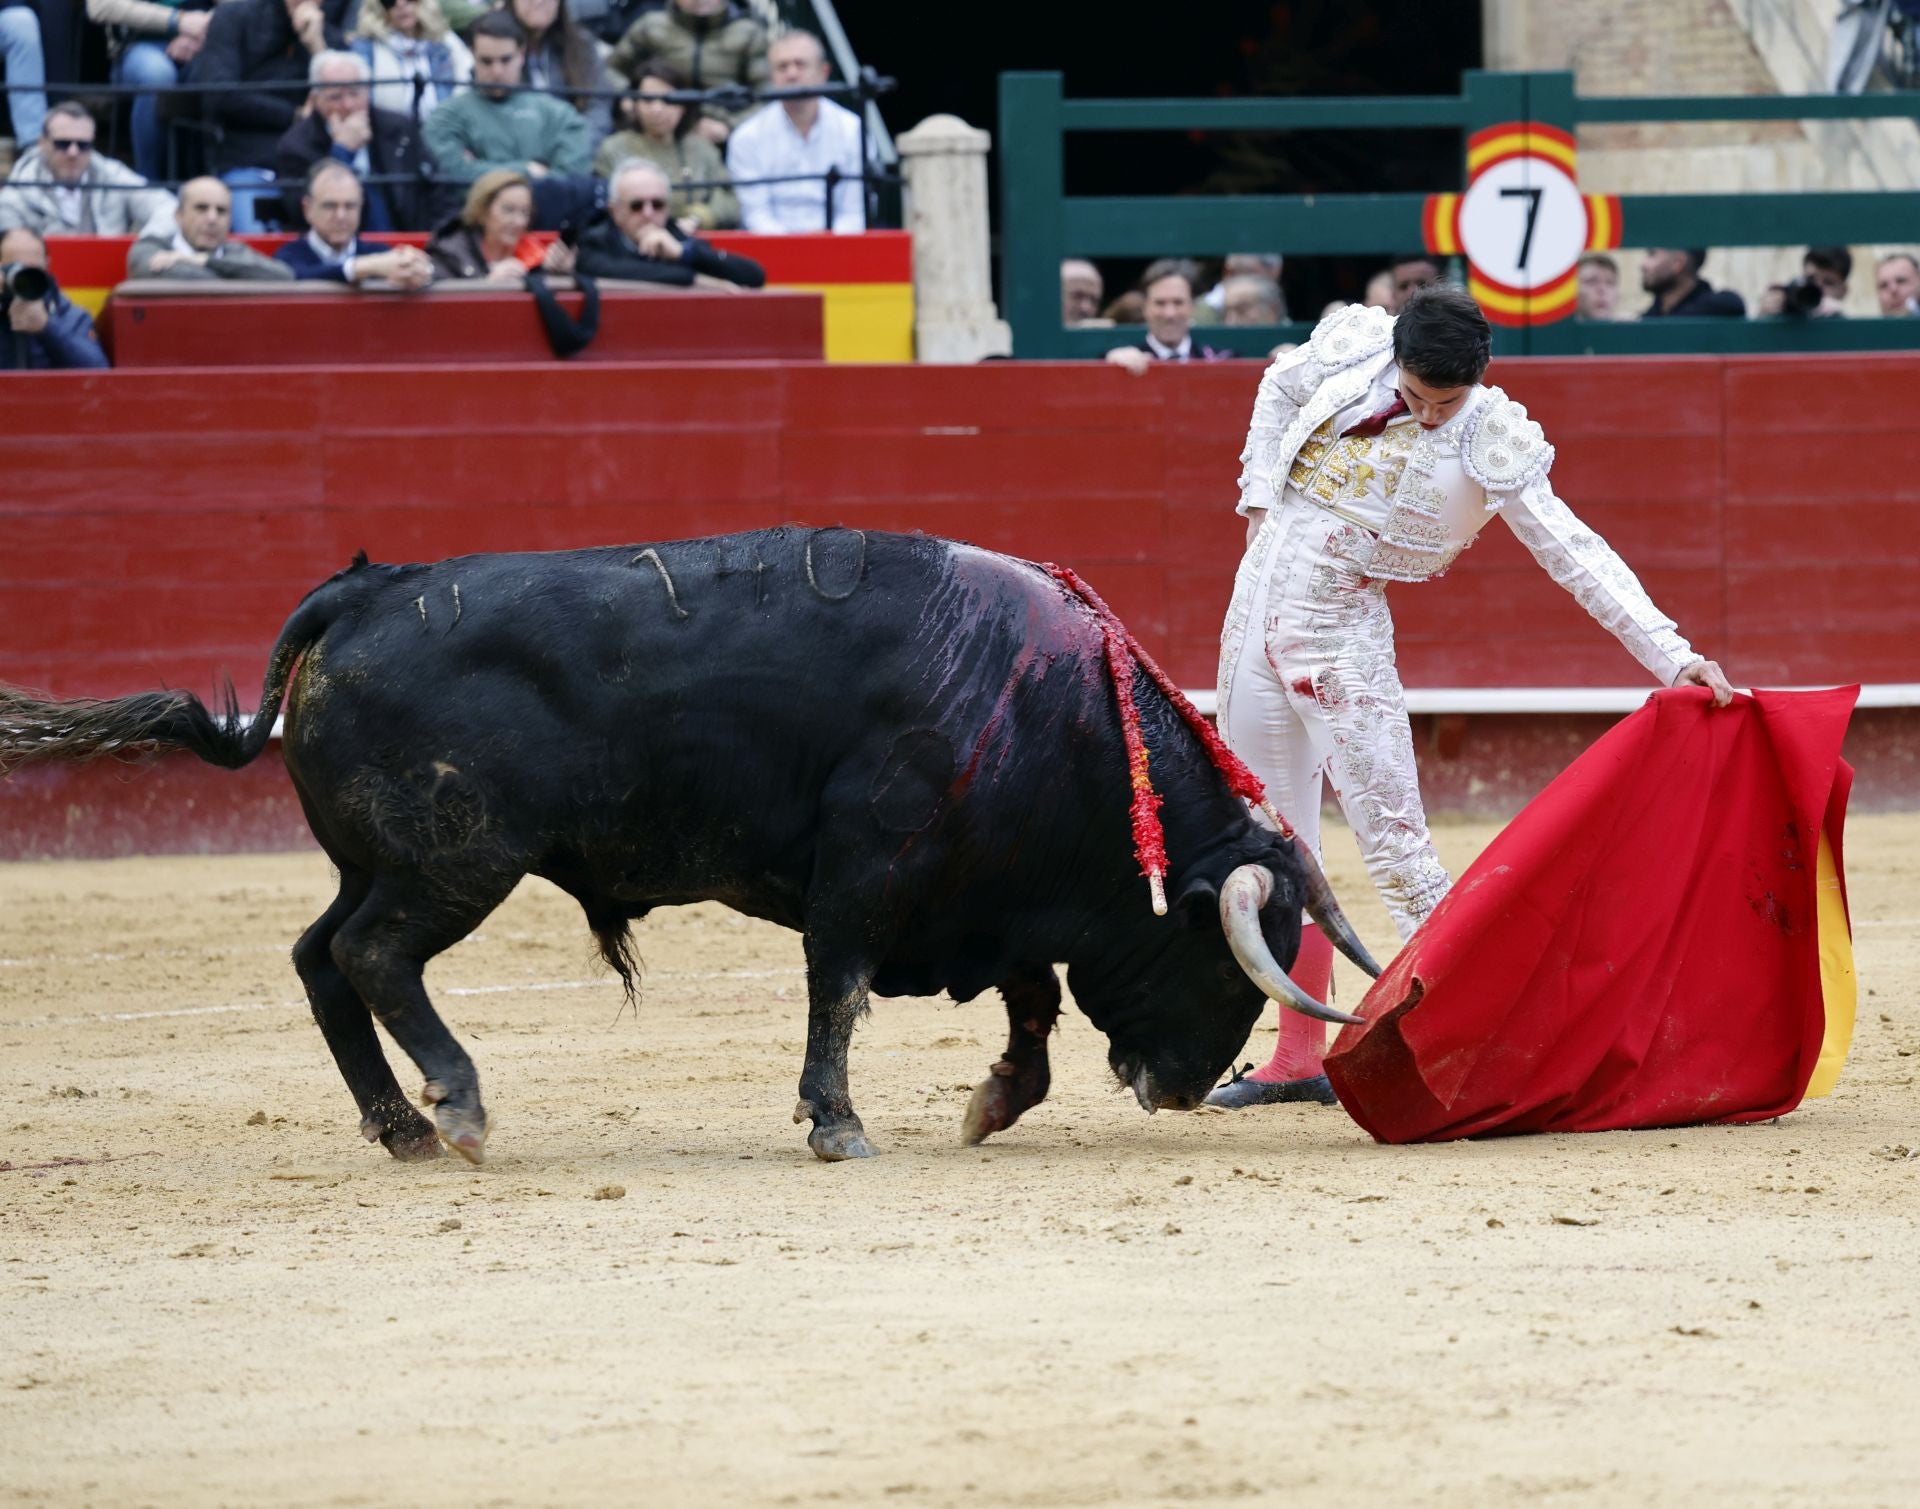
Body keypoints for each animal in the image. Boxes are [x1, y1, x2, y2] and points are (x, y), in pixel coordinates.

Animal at [3, 522, 1382, 1159]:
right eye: (1230, 958)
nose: (1186, 1089)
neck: (1045, 708)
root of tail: (369, 586)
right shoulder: (869, 873)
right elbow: (839, 990)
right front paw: (838, 1124)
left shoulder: (984, 903)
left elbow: (1031, 1005)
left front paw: (990, 1104)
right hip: (456, 860)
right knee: (376, 957)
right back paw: (459, 1106)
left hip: (378, 860)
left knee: (317, 957)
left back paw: (400, 1125)